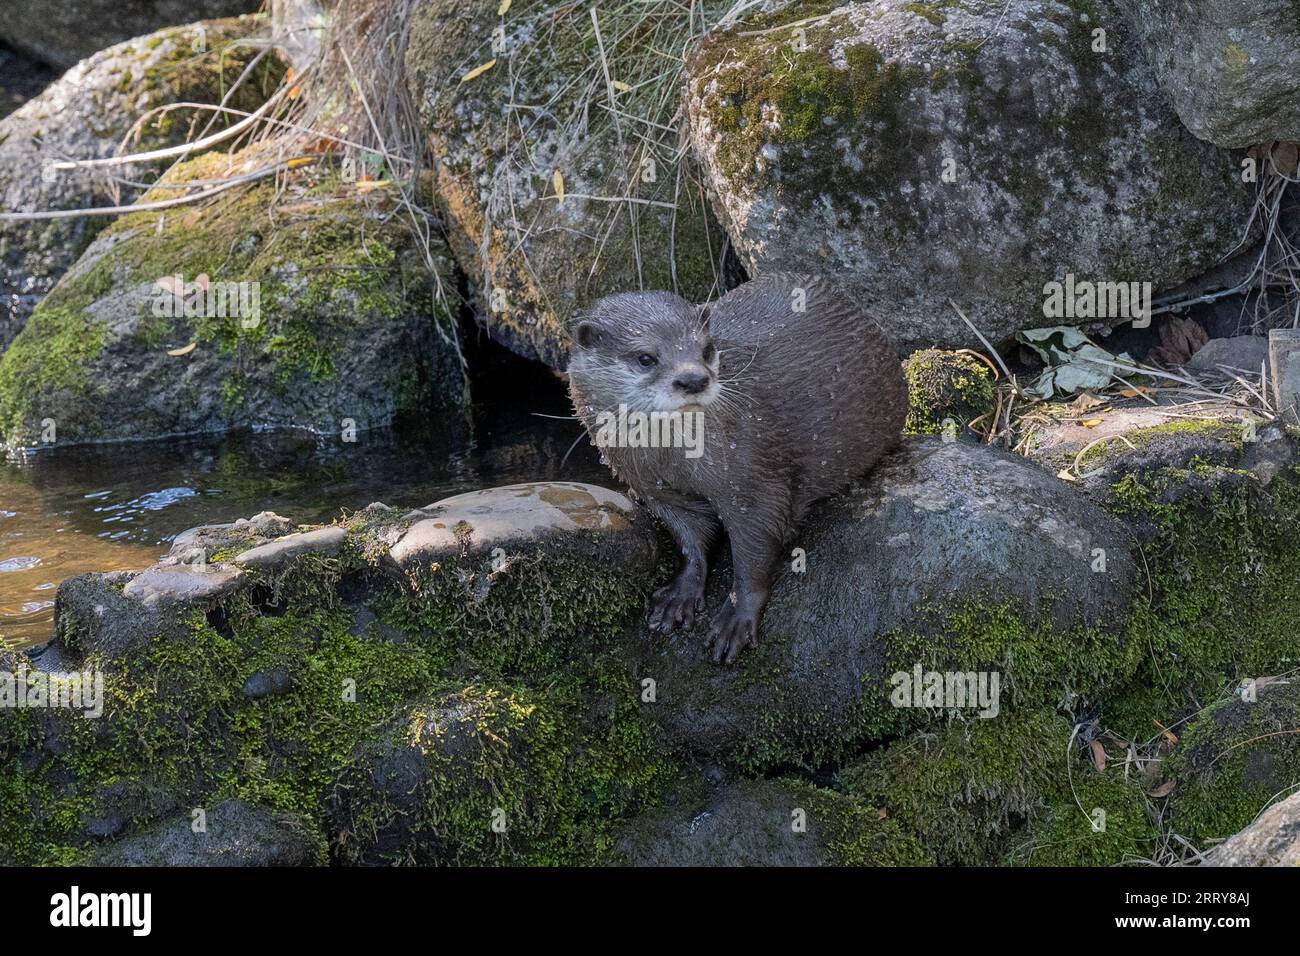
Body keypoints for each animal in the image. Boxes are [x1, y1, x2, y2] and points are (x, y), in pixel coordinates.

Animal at [569, 273, 904, 665]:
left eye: (706, 349)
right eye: (645, 357)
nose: (693, 379)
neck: (674, 462)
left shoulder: (753, 479)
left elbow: (755, 549)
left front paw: (737, 619)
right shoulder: (657, 491)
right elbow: (689, 539)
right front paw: (681, 594)